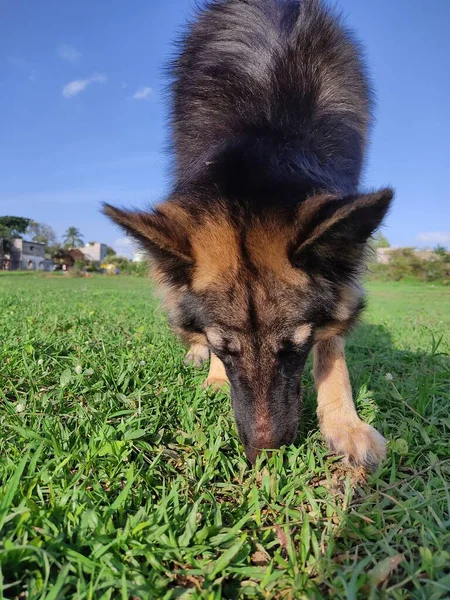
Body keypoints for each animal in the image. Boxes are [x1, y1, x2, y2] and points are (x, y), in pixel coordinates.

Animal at [103, 0, 392, 468]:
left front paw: (344, 423)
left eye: (295, 349)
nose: (265, 454)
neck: (266, 126)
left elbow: (333, 345)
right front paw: (214, 376)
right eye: (225, 348)